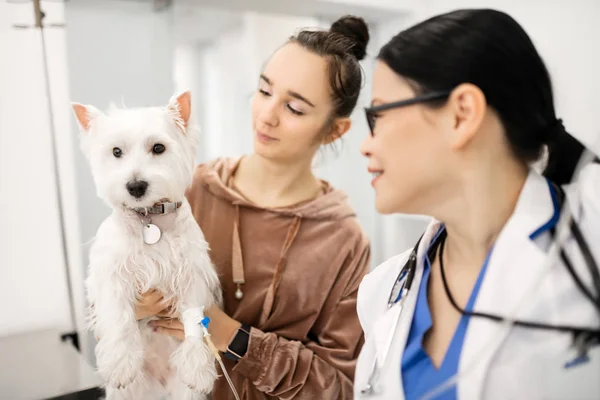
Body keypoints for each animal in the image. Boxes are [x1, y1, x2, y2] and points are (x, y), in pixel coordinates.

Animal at [72, 91, 223, 400]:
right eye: (116, 152)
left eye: (158, 147)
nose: (136, 186)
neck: (148, 218)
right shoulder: (111, 273)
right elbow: (117, 313)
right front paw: (120, 364)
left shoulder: (192, 274)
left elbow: (194, 318)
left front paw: (198, 368)